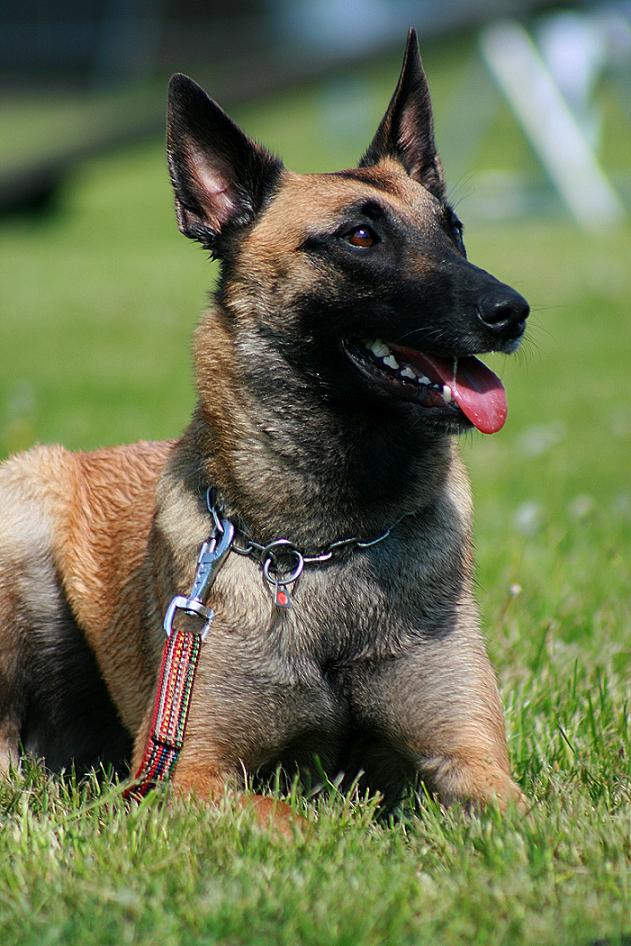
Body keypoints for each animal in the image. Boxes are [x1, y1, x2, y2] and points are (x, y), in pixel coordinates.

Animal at [0, 31, 528, 824]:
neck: (323, 544)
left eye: (454, 230)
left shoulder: (473, 763)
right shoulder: (192, 775)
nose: (511, 312)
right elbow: (292, 818)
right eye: (360, 236)